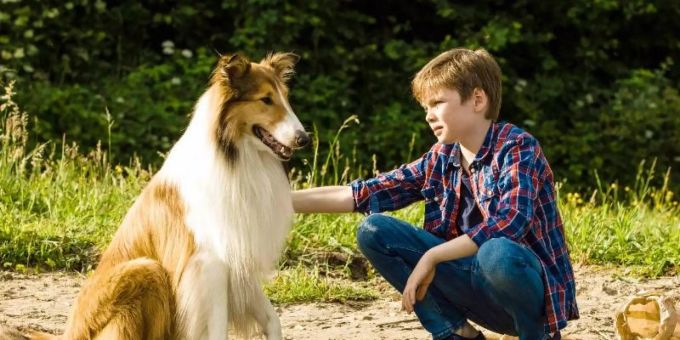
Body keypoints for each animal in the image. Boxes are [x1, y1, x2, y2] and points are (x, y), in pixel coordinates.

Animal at [27, 51, 310, 338]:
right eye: (266, 99)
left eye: (286, 98)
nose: (304, 139)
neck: (238, 159)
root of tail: (70, 333)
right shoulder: (211, 263)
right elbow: (218, 327)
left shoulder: (241, 257)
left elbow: (272, 319)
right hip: (145, 269)